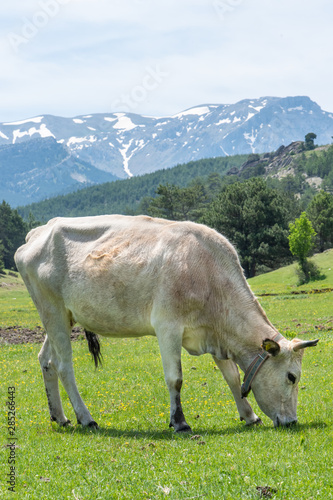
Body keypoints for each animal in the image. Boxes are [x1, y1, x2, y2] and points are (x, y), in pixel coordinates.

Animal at [14, 215, 318, 430]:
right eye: (292, 376)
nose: (292, 422)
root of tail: (38, 231)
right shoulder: (168, 327)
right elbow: (176, 378)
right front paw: (179, 421)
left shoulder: (214, 333)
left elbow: (231, 376)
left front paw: (249, 416)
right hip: (52, 311)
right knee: (64, 366)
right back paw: (85, 418)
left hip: (62, 316)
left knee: (46, 360)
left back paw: (60, 417)